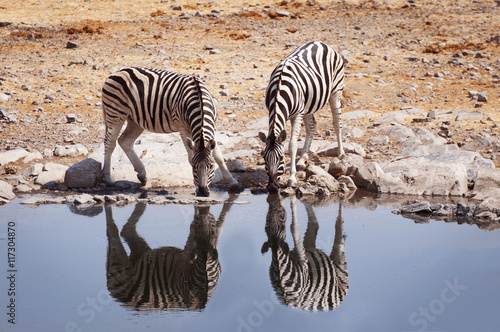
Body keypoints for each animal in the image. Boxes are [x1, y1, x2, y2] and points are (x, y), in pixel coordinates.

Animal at [100, 68, 237, 197]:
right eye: (194, 167)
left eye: (211, 166)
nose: (203, 192)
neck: (199, 102)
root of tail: (117, 72)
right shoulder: (182, 127)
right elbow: (190, 156)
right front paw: (195, 184)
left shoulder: (212, 128)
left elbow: (219, 156)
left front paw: (232, 181)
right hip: (115, 114)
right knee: (110, 142)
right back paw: (107, 177)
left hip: (135, 120)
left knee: (124, 141)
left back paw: (142, 175)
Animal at [105, 196, 236, 310]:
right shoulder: (185, 259)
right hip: (121, 263)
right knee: (113, 232)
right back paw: (109, 199)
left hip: (141, 259)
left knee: (125, 231)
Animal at [258, 41, 344, 193]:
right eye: (264, 157)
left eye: (281, 158)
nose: (273, 188)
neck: (279, 89)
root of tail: (320, 42)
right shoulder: (272, 110)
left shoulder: (297, 114)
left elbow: (292, 144)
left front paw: (292, 179)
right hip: (309, 103)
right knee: (312, 126)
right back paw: (301, 159)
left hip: (335, 91)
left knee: (336, 122)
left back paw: (341, 154)